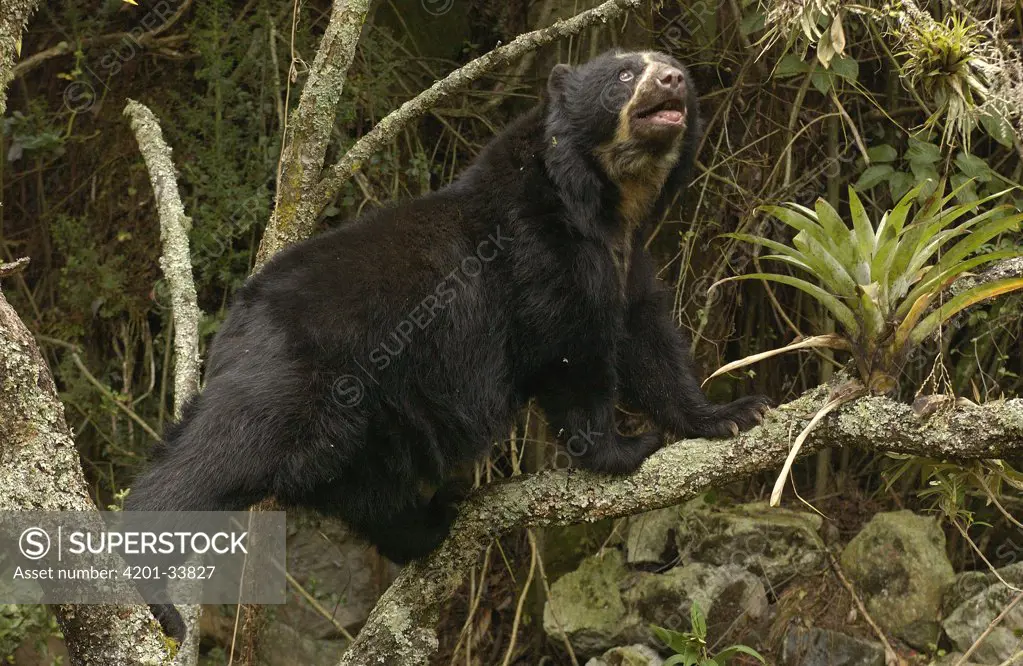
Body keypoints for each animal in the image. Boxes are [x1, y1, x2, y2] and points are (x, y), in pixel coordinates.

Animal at [134, 48, 773, 642]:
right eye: (623, 72)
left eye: (674, 68)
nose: (672, 80)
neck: (605, 201)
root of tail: (232, 327)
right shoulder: (539, 253)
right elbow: (572, 353)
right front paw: (624, 447)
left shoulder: (625, 260)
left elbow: (647, 342)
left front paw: (731, 413)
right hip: (295, 375)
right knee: (223, 452)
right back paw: (154, 591)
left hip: (366, 425)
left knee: (369, 495)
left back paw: (433, 520)